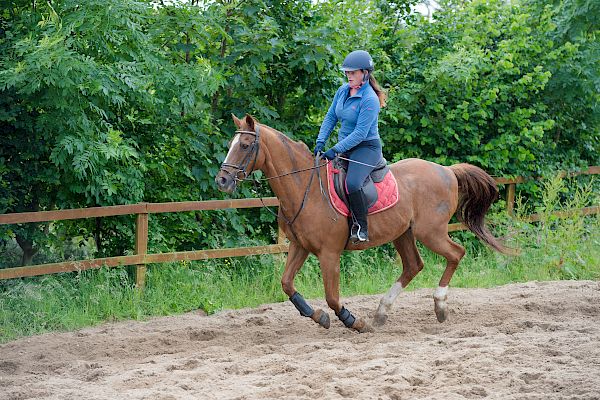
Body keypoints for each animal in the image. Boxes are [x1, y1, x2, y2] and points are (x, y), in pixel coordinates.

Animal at [213, 114, 508, 332]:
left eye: (244, 145)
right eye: (229, 144)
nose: (222, 180)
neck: (305, 188)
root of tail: (447, 170)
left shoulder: (329, 253)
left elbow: (332, 297)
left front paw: (353, 321)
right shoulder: (300, 246)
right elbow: (287, 284)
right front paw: (318, 316)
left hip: (430, 232)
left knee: (456, 253)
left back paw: (439, 306)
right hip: (403, 233)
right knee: (414, 265)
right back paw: (381, 312)